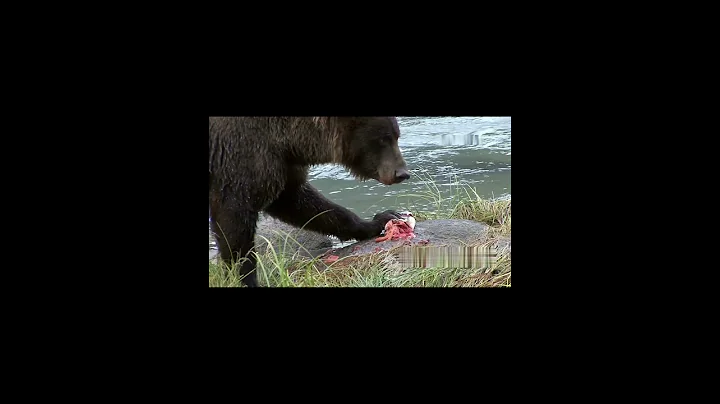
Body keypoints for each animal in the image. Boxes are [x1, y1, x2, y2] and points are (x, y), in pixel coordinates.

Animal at [209, 116, 411, 287]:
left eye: (397, 136)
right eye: (384, 139)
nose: (402, 173)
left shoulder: (283, 165)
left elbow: (302, 204)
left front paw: (380, 219)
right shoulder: (239, 156)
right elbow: (235, 226)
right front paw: (244, 279)